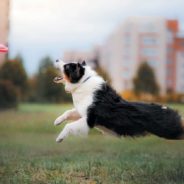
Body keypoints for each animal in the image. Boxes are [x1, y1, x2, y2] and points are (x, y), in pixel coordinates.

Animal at [52, 59, 184, 142]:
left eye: (67, 66)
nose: (57, 59)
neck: (82, 82)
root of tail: (167, 109)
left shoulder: (89, 120)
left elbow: (69, 126)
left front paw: (60, 138)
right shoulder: (82, 111)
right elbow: (68, 112)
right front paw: (57, 121)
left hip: (170, 130)